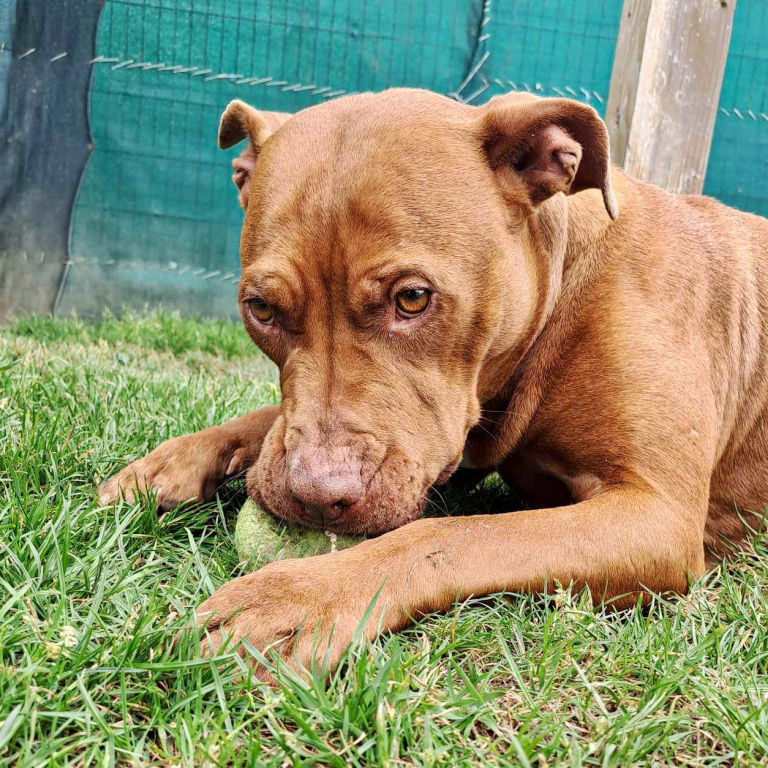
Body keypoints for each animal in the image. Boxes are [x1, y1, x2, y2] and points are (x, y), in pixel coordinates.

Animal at [99, 88, 768, 679]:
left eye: (413, 299)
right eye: (260, 308)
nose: (314, 496)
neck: (562, 297)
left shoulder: (655, 514)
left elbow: (449, 535)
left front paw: (295, 599)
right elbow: (266, 420)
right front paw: (173, 460)